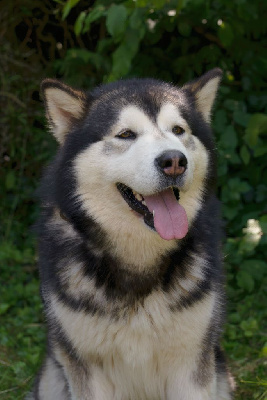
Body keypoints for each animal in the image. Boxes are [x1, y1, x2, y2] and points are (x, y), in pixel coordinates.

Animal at [27, 69, 232, 400]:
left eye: (178, 130)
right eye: (126, 135)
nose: (174, 161)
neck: (138, 261)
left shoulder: (191, 365)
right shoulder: (87, 373)